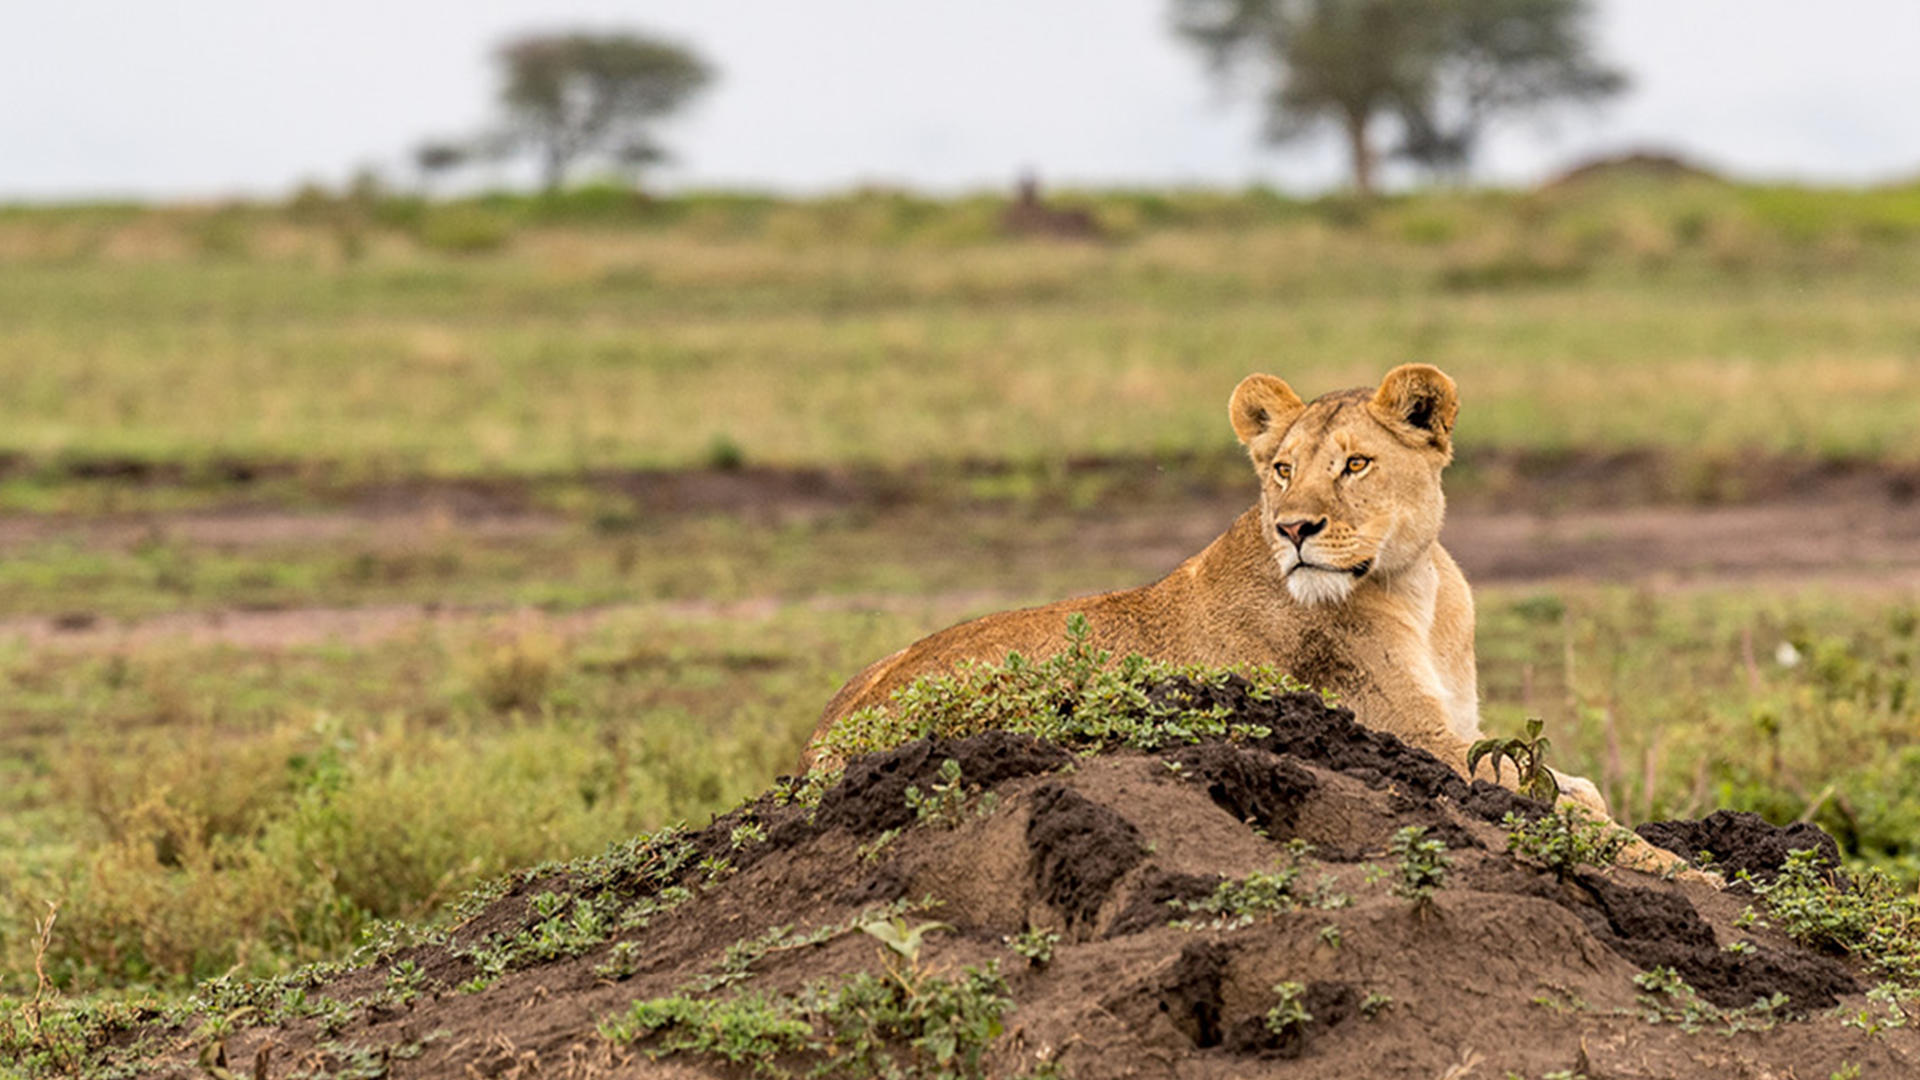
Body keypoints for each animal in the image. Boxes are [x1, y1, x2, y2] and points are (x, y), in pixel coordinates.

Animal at [802, 364, 1612, 820]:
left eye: (1355, 465)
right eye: (1283, 469)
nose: (1294, 528)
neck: (1416, 582)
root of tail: (820, 750)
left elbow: (1567, 783)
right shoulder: (1412, 738)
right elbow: (1558, 795)